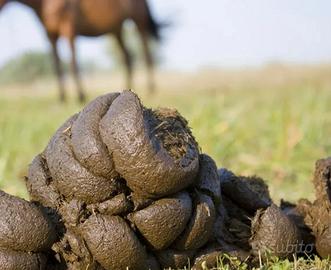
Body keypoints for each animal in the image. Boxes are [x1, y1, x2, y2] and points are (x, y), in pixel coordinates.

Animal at [0, 0, 161, 102]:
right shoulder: (50, 36)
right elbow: (57, 66)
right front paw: (62, 97)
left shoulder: (69, 28)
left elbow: (73, 63)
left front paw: (80, 95)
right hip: (116, 29)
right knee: (128, 57)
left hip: (138, 21)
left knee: (147, 54)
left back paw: (151, 89)